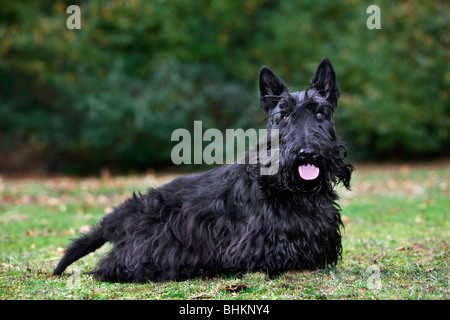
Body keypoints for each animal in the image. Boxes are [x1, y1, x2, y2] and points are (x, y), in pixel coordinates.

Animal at [54, 57, 354, 282]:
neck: (295, 191)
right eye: (285, 116)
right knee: (115, 266)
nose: (307, 154)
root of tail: (119, 216)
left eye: (320, 114)